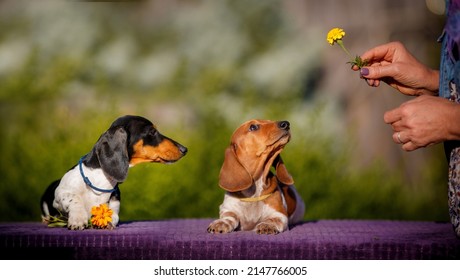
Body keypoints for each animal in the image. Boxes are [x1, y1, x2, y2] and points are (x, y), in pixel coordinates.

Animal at [41, 115, 187, 230]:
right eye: (152, 131)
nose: (184, 149)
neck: (99, 178)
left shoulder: (115, 204)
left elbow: (113, 215)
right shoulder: (60, 195)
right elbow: (73, 198)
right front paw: (78, 218)